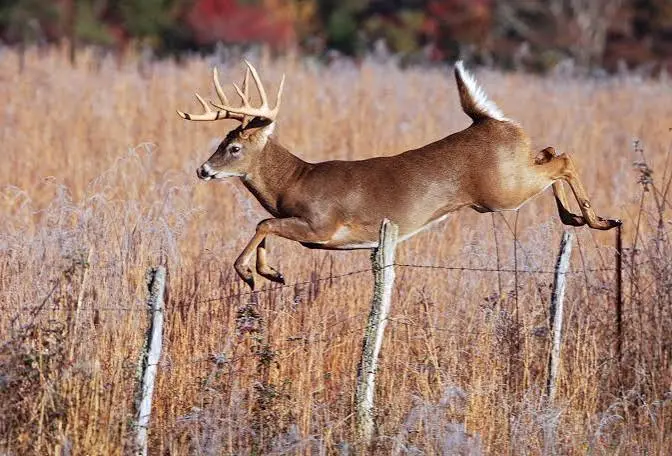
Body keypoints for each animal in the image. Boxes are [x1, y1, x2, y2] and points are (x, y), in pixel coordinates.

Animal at [178, 60, 621, 290]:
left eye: (234, 148)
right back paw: (576, 217)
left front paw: (249, 273)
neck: (293, 182)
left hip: (502, 191)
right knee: (551, 152)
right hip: (512, 175)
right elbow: (265, 223)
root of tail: (488, 121)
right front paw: (271, 272)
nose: (203, 169)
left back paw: (599, 219)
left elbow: (264, 222)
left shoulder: (322, 226)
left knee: (563, 159)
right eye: (221, 140)